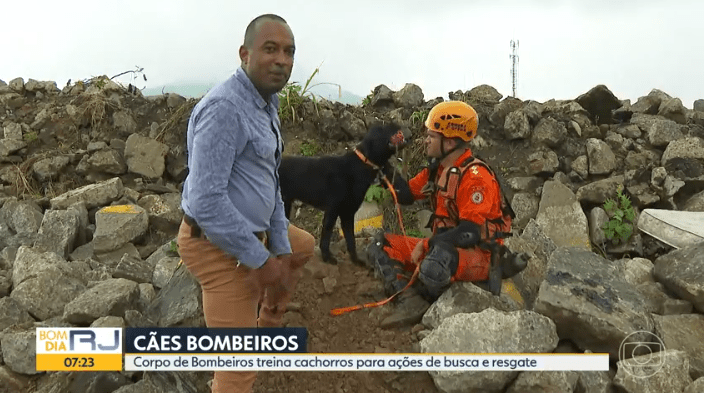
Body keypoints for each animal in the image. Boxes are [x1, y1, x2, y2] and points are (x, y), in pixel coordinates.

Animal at [280, 122, 416, 264]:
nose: (410, 133)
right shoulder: (333, 210)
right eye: (389, 127)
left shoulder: (348, 213)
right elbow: (326, 236)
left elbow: (351, 241)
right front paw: (327, 257)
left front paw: (356, 260)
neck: (361, 165)